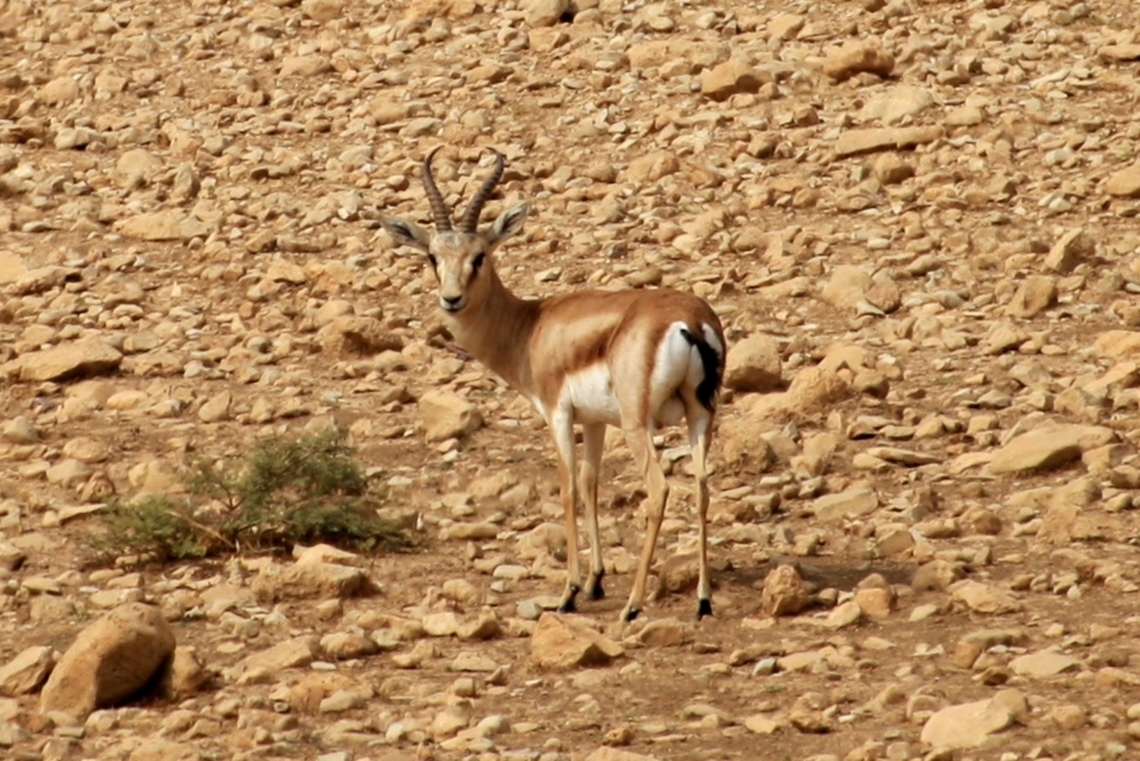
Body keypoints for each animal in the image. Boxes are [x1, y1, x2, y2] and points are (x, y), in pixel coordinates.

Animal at [381, 147, 726, 622]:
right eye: (433, 256)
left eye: (479, 256)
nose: (451, 299)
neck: (530, 327)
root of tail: (690, 320)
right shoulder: (595, 421)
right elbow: (590, 483)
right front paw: (597, 581)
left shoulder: (558, 414)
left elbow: (566, 489)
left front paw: (570, 591)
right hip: (701, 416)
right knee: (703, 486)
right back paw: (703, 600)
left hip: (639, 425)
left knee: (659, 490)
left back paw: (633, 606)